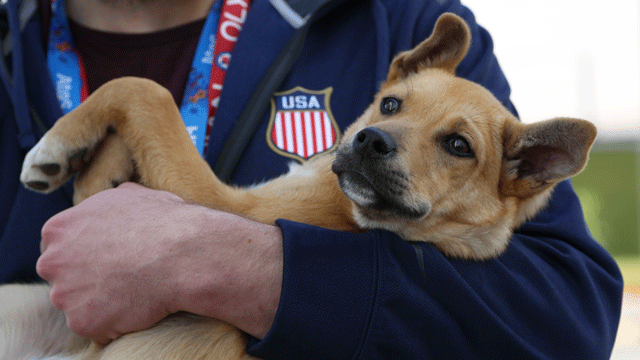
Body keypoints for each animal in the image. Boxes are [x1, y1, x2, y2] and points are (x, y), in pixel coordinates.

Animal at [2, 12, 596, 360]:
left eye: (458, 146)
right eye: (391, 105)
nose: (370, 141)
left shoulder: (213, 202)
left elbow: (145, 91)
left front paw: (56, 149)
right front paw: (97, 165)